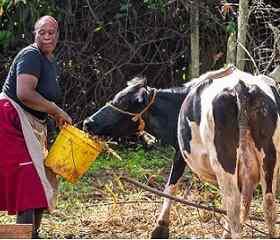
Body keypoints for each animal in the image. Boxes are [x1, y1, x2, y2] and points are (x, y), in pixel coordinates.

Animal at [84, 66, 280, 238]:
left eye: (121, 102)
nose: (88, 122)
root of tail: (241, 86)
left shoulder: (179, 152)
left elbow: (171, 184)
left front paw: (160, 228)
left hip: (224, 161)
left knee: (233, 203)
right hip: (269, 158)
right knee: (268, 203)